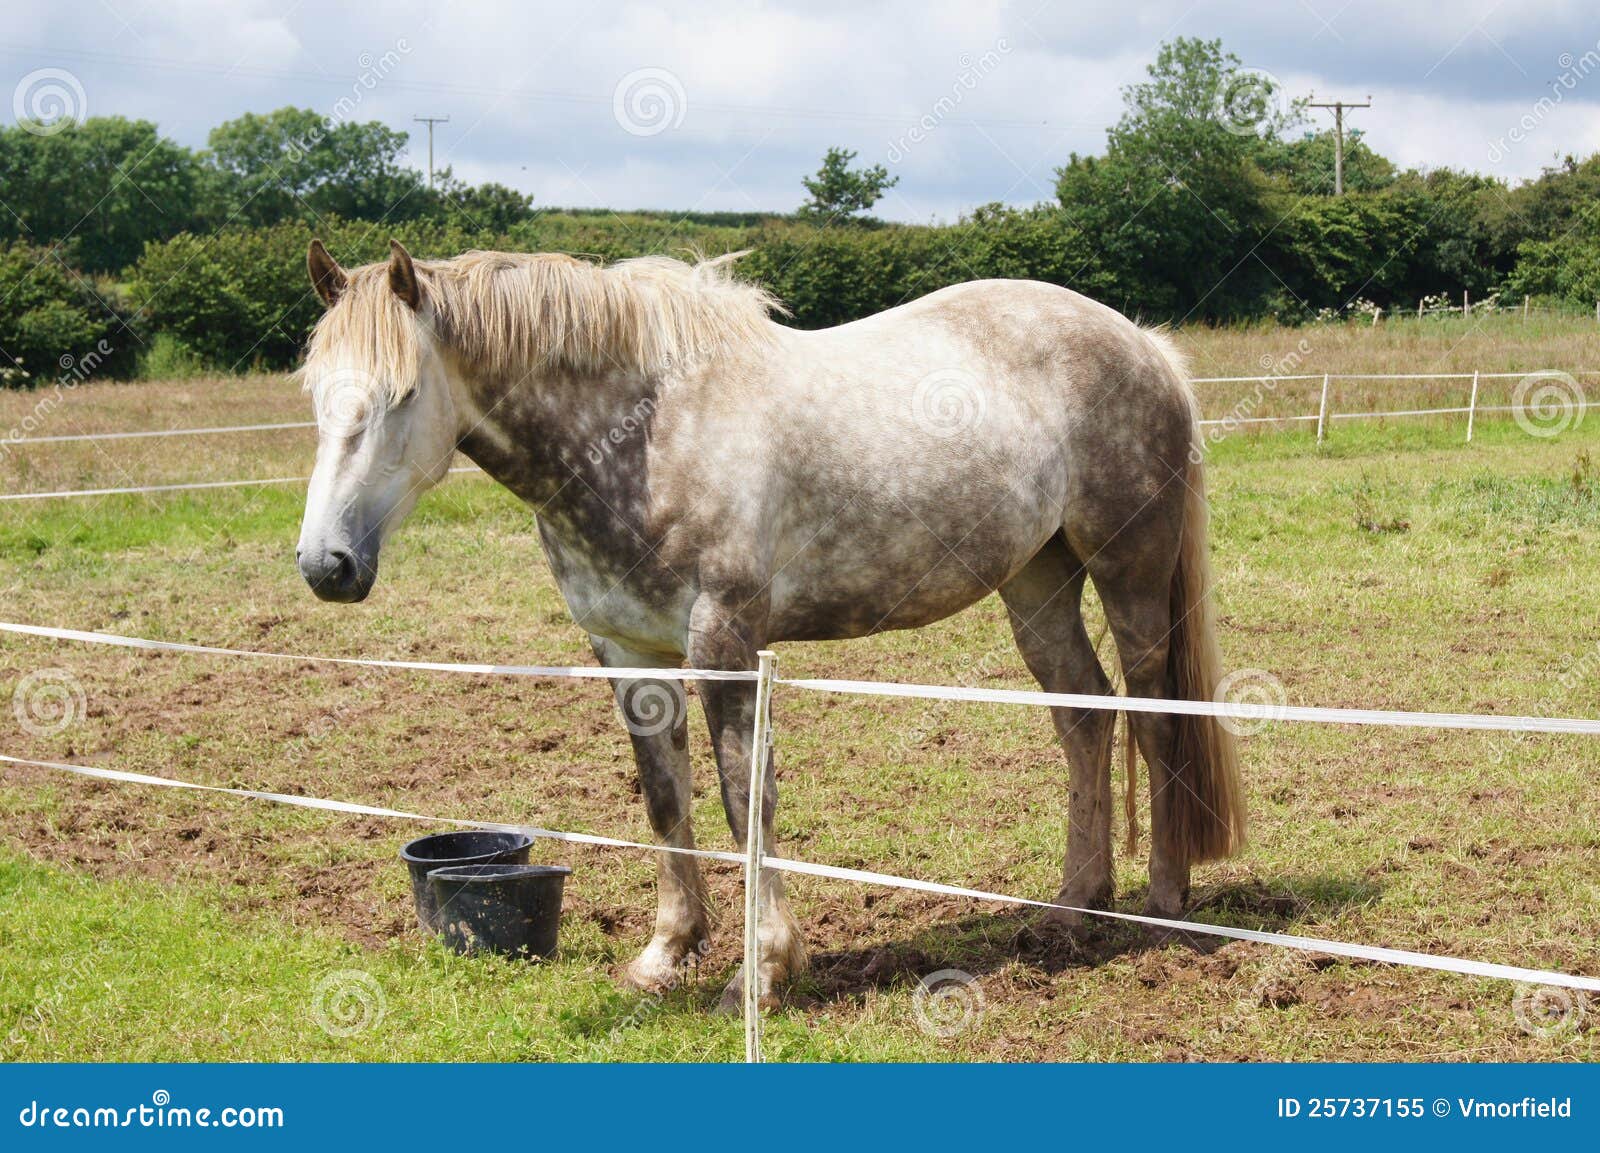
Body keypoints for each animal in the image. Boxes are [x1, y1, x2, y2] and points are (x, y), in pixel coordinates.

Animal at [297, 239, 1248, 1010]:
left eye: (402, 393)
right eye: (314, 394)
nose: (325, 565)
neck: (642, 435)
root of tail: (1144, 342)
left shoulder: (724, 640)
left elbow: (742, 797)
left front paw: (758, 973)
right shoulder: (628, 650)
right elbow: (665, 796)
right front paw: (665, 955)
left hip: (1129, 576)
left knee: (1157, 719)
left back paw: (1165, 907)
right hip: (1037, 580)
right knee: (1084, 713)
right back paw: (1075, 904)